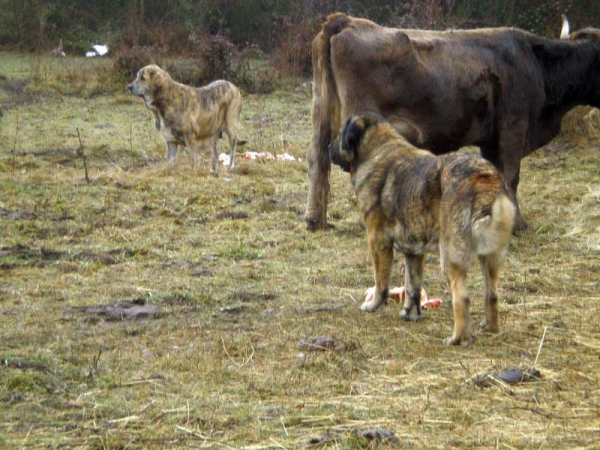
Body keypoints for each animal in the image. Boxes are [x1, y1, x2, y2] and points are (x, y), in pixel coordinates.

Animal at [308, 13, 600, 232]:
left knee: (318, 160)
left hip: (320, 113)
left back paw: (315, 220)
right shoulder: (513, 129)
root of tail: (347, 21)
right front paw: (516, 224)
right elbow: (511, 175)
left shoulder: (491, 139)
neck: (536, 63)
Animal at [328, 113, 516, 344]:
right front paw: (410, 313)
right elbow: (412, 286)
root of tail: (484, 178)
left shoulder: (377, 241)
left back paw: (456, 338)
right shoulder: (414, 252)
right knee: (492, 294)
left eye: (340, 134)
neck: (376, 152)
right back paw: (489, 328)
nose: (328, 146)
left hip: (451, 256)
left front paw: (373, 305)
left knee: (462, 298)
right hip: (490, 258)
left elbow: (381, 282)